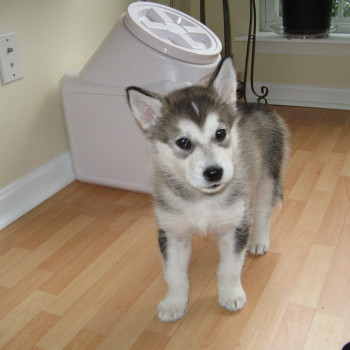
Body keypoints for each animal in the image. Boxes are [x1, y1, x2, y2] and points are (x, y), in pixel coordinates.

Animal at [126, 56, 288, 322]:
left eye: (220, 133)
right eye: (183, 142)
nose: (214, 172)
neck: (201, 199)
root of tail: (254, 105)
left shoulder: (234, 226)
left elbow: (230, 268)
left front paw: (231, 295)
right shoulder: (171, 231)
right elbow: (173, 275)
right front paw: (173, 303)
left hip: (268, 176)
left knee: (264, 210)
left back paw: (259, 240)